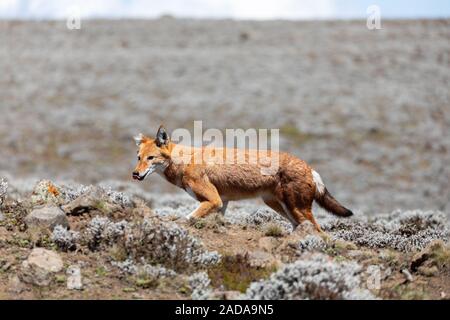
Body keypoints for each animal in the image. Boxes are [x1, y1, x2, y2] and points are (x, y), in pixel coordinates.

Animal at [132, 125, 354, 232]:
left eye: (150, 158)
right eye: (138, 158)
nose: (135, 174)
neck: (185, 161)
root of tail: (310, 167)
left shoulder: (214, 200)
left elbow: (187, 218)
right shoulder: (221, 203)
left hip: (296, 210)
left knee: (320, 232)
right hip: (282, 208)